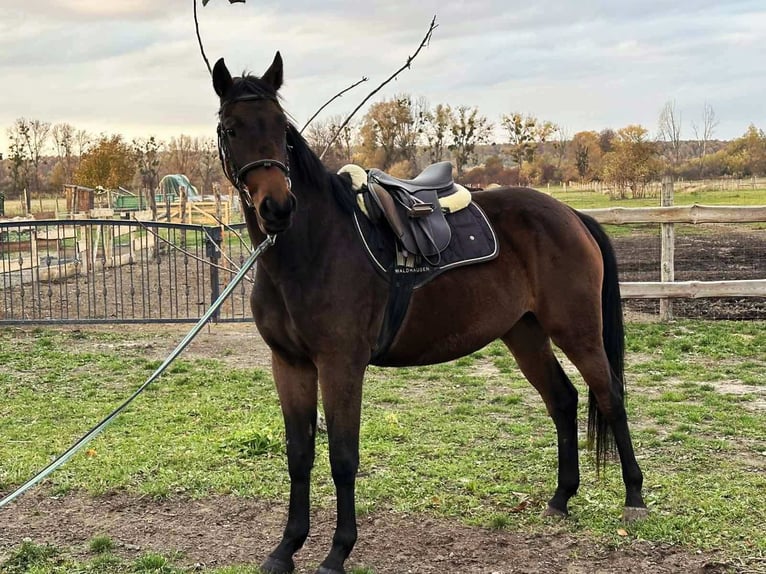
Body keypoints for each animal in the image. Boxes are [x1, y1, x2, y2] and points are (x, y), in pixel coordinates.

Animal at [211, 52, 646, 574]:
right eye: (231, 129)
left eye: (281, 127)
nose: (277, 207)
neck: (313, 249)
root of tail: (571, 216)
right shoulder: (290, 364)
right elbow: (299, 454)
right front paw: (286, 548)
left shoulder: (341, 366)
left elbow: (342, 457)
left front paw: (338, 552)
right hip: (525, 334)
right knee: (562, 399)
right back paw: (561, 497)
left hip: (577, 331)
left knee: (610, 396)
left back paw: (635, 498)